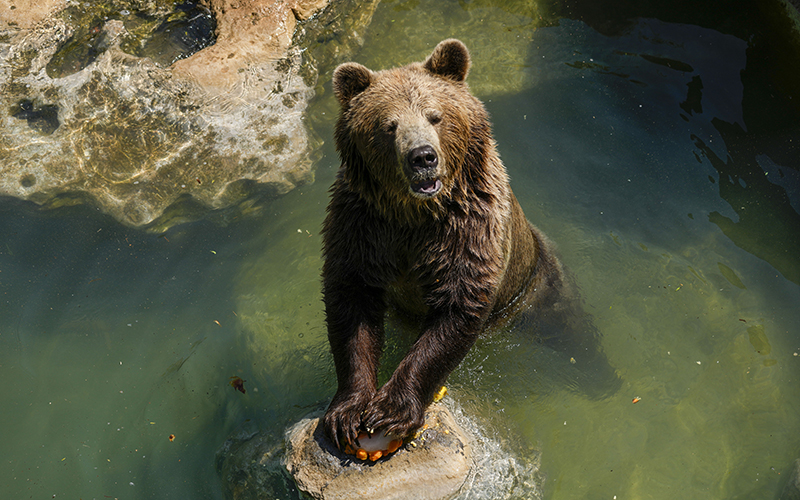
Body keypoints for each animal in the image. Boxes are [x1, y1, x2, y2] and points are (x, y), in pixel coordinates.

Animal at [322, 41, 596, 452]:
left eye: (435, 116)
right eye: (389, 125)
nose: (422, 156)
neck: (413, 213)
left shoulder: (468, 229)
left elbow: (457, 305)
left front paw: (392, 409)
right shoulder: (364, 226)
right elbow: (351, 300)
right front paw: (347, 411)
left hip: (540, 286)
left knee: (574, 332)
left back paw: (603, 377)